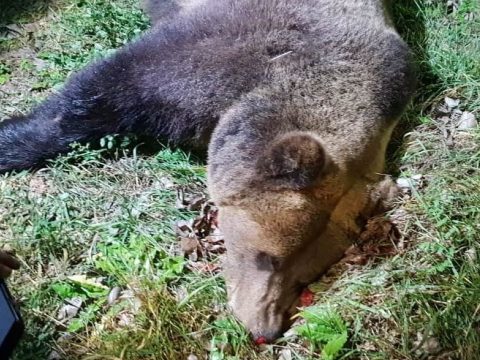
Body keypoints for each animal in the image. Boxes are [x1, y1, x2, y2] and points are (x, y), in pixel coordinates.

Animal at [0, 0, 412, 340]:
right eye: (268, 256)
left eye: (307, 273)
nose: (262, 328)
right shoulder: (225, 45)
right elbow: (101, 92)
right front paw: (13, 140)